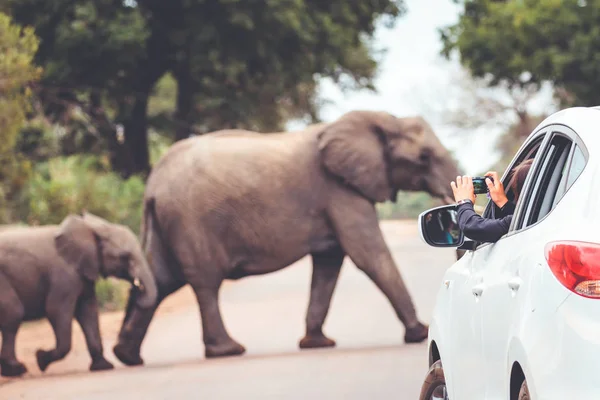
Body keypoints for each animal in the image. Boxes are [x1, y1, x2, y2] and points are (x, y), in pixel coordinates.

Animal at [0, 212, 157, 378]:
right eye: (124, 256)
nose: (135, 288)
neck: (92, 228)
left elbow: (88, 312)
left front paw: (103, 367)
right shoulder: (64, 276)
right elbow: (56, 310)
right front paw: (41, 359)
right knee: (14, 313)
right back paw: (17, 370)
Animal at [113, 110, 460, 366]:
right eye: (424, 157)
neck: (383, 120)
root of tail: (152, 184)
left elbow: (329, 264)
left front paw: (317, 344)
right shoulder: (340, 190)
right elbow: (368, 254)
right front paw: (418, 333)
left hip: (169, 221)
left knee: (160, 280)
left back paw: (127, 357)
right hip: (190, 219)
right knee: (204, 282)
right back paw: (228, 351)